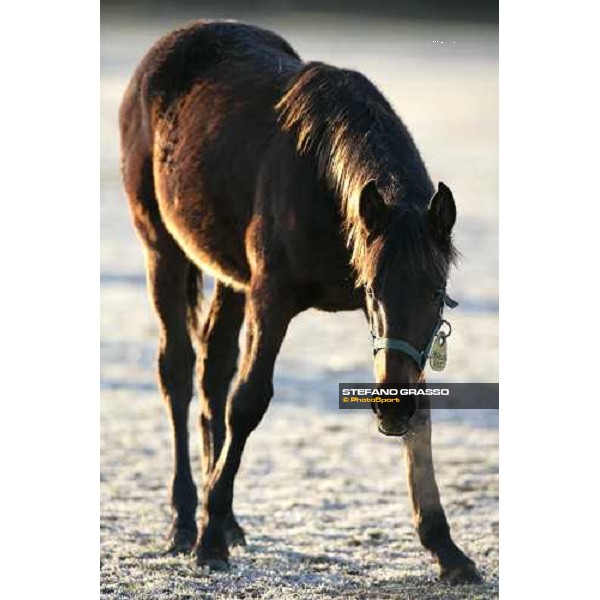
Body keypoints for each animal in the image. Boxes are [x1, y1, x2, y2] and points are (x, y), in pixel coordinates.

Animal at [119, 21, 480, 584]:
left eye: (438, 293)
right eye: (373, 291)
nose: (389, 413)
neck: (326, 188)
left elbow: (421, 416)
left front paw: (446, 549)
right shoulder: (272, 299)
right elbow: (248, 402)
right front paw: (208, 541)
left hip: (229, 277)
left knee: (212, 373)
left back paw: (227, 518)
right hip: (162, 249)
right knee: (177, 372)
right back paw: (184, 520)